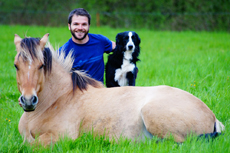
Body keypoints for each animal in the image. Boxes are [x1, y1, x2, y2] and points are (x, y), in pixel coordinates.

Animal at [13, 33, 225, 146]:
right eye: (16, 65)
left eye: (41, 65)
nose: (29, 101)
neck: (59, 100)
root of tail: (212, 116)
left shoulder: (60, 138)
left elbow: (30, 146)